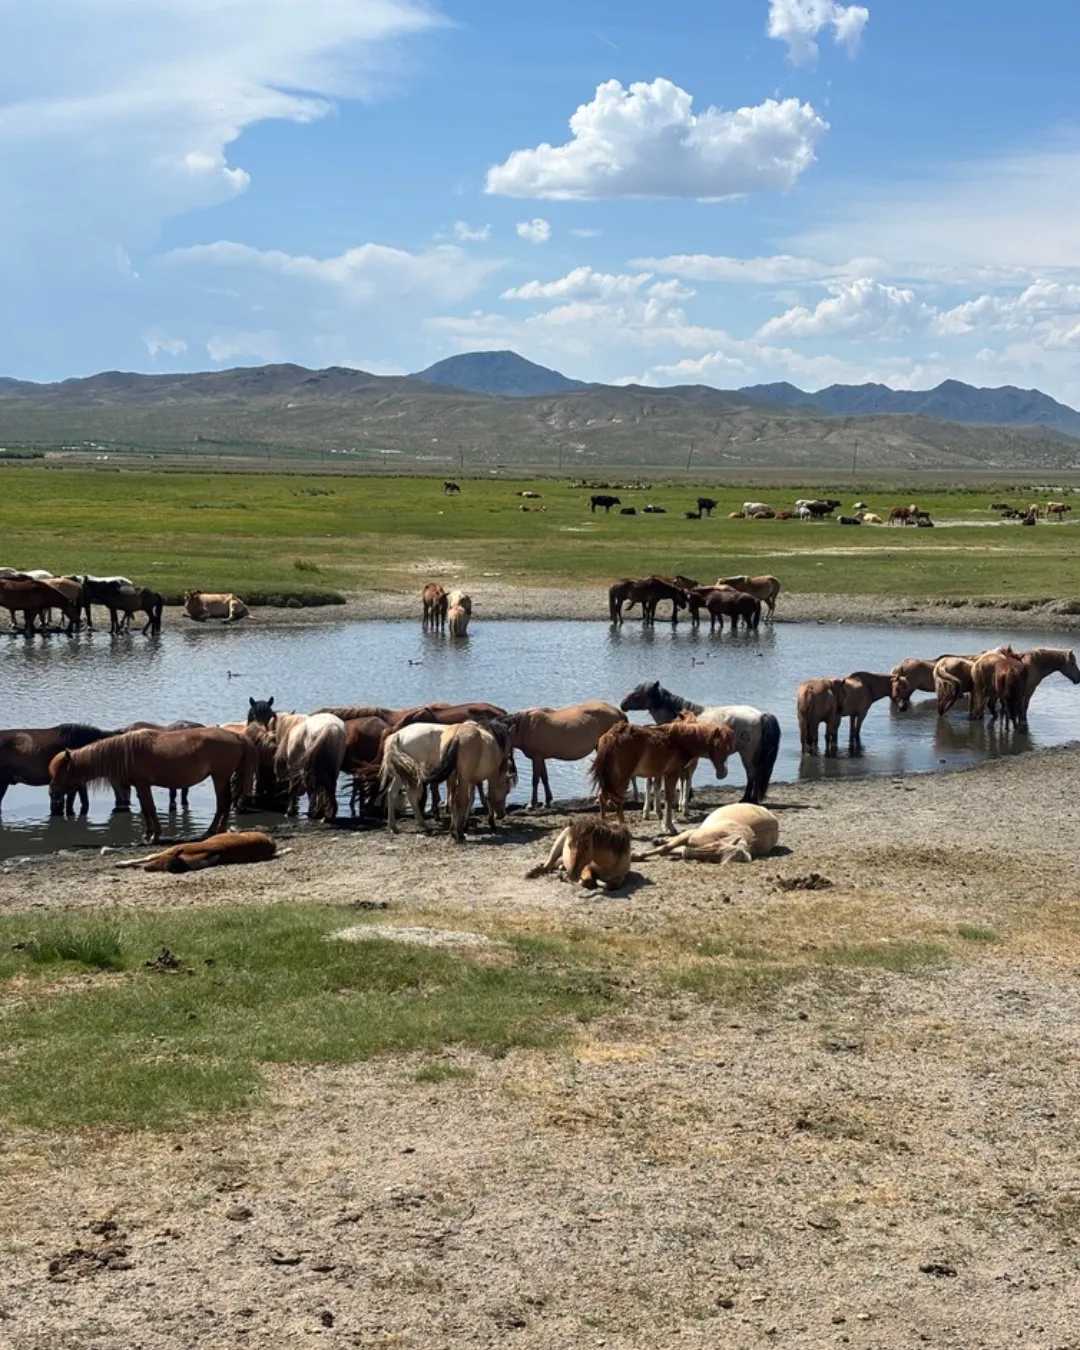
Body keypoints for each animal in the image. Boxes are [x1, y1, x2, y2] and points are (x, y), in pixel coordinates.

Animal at [49, 727, 257, 842]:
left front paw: (154, 835)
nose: (52, 792)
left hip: (219, 776)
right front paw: (149, 833)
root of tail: (236, 736)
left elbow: (150, 807)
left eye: (61, 771)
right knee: (224, 802)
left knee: (223, 802)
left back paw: (214, 830)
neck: (127, 752)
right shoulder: (140, 786)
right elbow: (145, 807)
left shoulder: (143, 784)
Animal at [590, 718, 736, 835]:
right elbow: (669, 798)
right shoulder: (672, 774)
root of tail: (612, 736)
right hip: (622, 778)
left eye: (728, 748)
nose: (722, 773)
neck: (680, 741)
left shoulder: (663, 775)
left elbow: (663, 796)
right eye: (717, 746)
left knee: (602, 797)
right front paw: (670, 827)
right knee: (617, 802)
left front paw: (665, 824)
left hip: (612, 777)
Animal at [619, 681, 780, 805]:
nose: (622, 704)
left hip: (746, 753)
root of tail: (761, 715)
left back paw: (746, 799)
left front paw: (686, 797)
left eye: (638, 693)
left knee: (751, 774)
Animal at [634, 803, 779, 864]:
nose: (688, 853)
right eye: (716, 846)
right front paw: (636, 855)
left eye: (715, 859)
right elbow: (666, 848)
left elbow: (670, 850)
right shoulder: (690, 835)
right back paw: (660, 840)